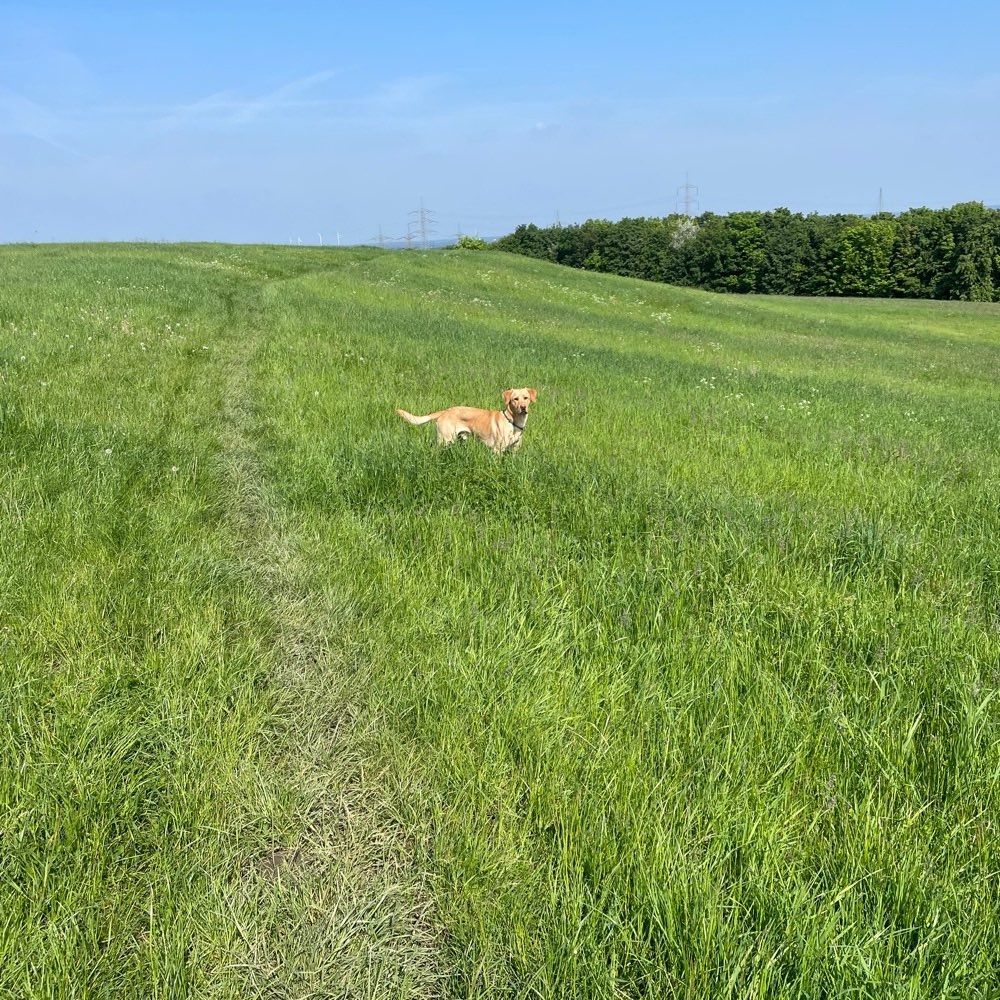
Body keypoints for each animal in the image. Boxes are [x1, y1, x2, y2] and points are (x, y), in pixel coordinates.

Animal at [396, 386, 540, 454]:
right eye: (515, 399)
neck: (513, 422)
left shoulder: (514, 450)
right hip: (445, 440)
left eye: (526, 398)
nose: (523, 407)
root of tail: (445, 411)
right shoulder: (497, 450)